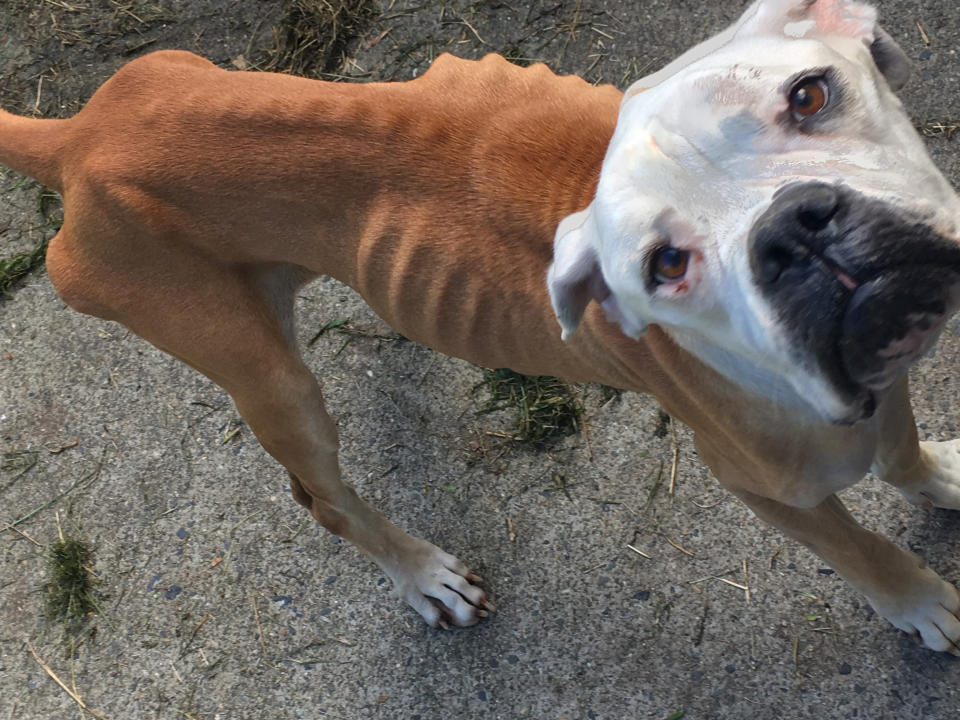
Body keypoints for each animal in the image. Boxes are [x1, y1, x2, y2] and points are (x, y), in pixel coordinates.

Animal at [1, 0, 960, 652]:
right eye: (663, 265)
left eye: (810, 95)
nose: (793, 232)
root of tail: (76, 138)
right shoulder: (766, 486)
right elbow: (863, 549)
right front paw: (917, 601)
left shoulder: (885, 381)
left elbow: (901, 446)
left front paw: (934, 473)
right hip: (268, 377)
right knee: (323, 497)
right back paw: (424, 576)